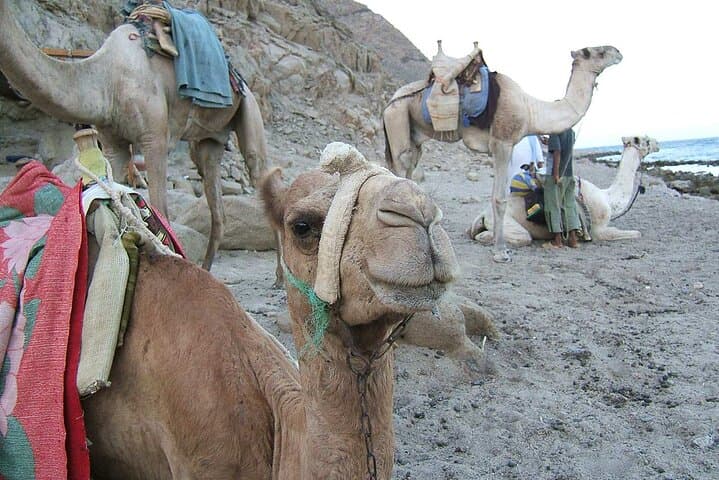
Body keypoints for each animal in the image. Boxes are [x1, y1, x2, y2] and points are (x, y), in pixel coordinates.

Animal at [0, 0, 268, 271]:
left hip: (248, 106)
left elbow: (160, 212)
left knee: (257, 166)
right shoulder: (112, 142)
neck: (107, 80)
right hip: (208, 140)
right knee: (215, 201)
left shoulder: (155, 138)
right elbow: (115, 201)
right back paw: (206, 269)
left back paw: (275, 275)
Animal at [383, 44, 623, 262]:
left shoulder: (508, 146)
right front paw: (501, 252)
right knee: (401, 166)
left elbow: (498, 195)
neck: (531, 110)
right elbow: (499, 198)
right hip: (398, 118)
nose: (618, 52)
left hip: (414, 134)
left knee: (408, 169)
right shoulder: (502, 142)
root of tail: (390, 102)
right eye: (595, 51)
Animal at [468, 135, 660, 246]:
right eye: (646, 140)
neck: (608, 198)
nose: (658, 144)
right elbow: (637, 233)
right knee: (520, 237)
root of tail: (484, 214)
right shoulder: (598, 230)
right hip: (508, 224)